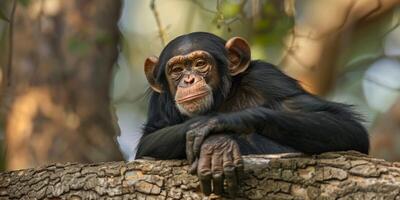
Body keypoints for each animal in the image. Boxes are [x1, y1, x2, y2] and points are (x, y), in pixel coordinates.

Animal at [136, 32, 370, 196]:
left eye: (200, 64)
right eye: (176, 70)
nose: (189, 80)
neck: (222, 99)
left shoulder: (267, 77)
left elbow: (345, 124)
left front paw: (217, 131)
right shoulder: (159, 102)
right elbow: (148, 141)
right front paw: (217, 143)